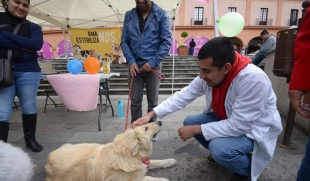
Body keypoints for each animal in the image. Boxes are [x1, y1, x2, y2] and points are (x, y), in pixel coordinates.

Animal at [44, 121, 176, 180]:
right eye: (146, 128)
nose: (160, 121)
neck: (128, 155)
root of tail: (48, 158)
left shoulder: (143, 161)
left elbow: (157, 161)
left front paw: (170, 161)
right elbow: (149, 178)